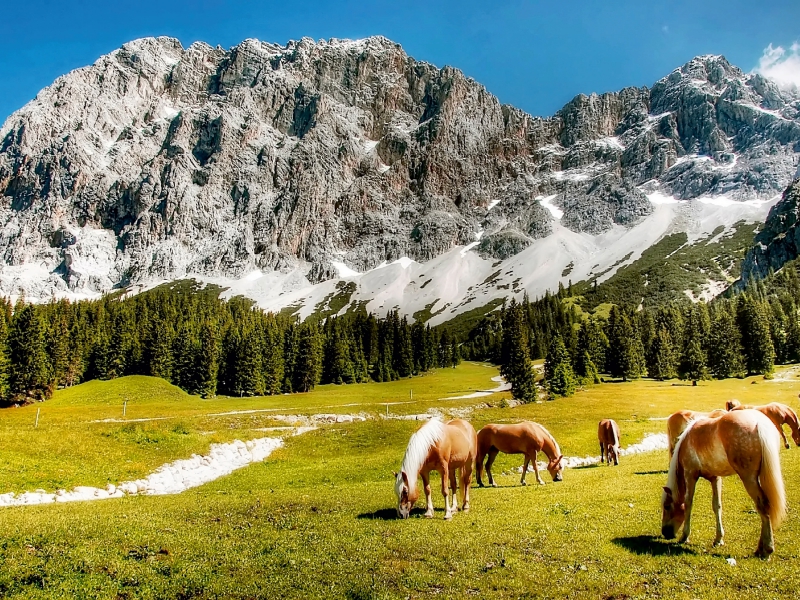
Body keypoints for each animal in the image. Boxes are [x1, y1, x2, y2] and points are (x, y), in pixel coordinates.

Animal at [664, 408, 788, 556]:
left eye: (666, 506)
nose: (665, 532)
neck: (686, 441)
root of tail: (759, 422)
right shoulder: (715, 478)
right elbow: (717, 506)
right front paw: (718, 539)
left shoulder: (690, 474)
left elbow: (688, 503)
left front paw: (685, 536)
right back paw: (760, 548)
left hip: (749, 478)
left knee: (762, 506)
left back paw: (766, 550)